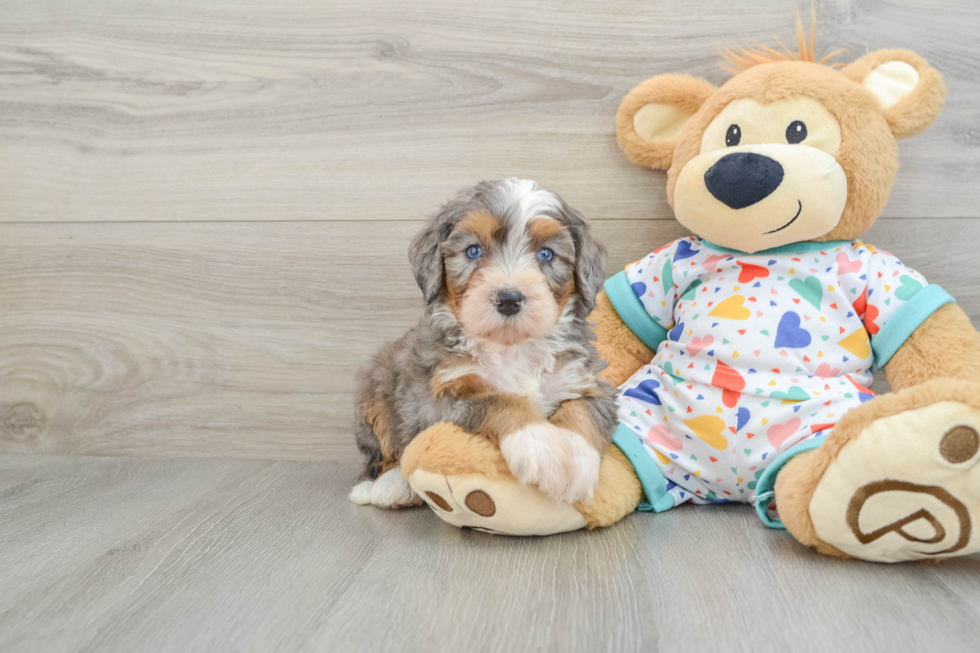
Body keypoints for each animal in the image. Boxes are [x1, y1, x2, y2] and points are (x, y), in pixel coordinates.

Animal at [348, 178, 616, 510]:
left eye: (546, 254)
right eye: (473, 251)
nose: (509, 299)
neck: (511, 348)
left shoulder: (586, 381)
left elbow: (583, 411)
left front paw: (576, 464)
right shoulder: (434, 399)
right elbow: (498, 399)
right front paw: (540, 446)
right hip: (373, 391)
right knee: (383, 454)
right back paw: (387, 485)